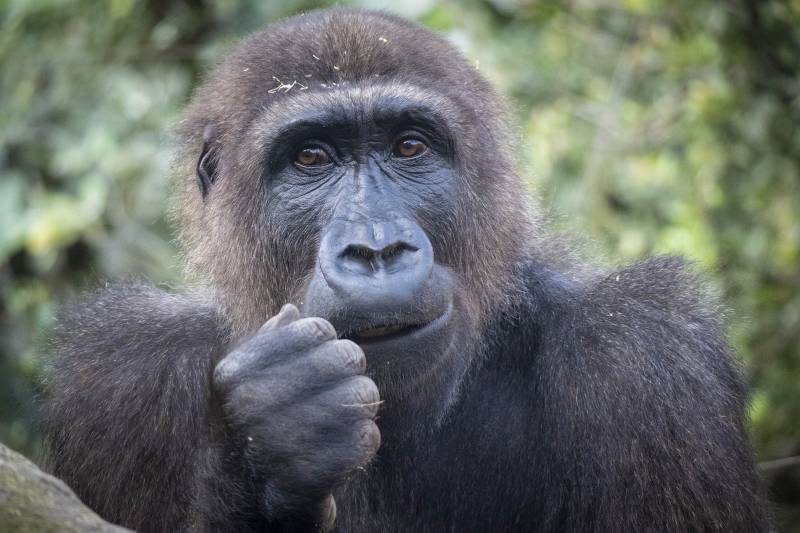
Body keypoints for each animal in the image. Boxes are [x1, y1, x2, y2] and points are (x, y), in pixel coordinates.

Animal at [42, 8, 768, 532]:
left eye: (409, 147)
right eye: (311, 158)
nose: (376, 250)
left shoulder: (648, 350)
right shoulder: (118, 371)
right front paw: (269, 443)